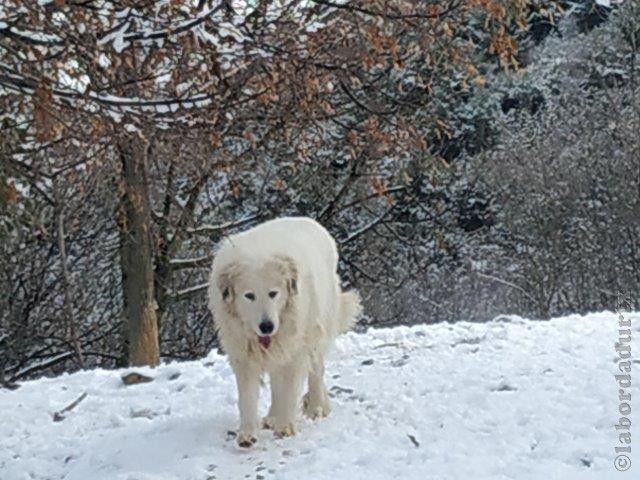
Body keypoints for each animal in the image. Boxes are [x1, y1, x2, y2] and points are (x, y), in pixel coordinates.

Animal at [209, 217, 362, 446]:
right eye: (249, 296)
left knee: (316, 370)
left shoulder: (296, 349)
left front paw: (285, 427)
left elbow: (289, 389)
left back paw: (316, 406)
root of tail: (311, 221)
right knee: (276, 379)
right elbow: (247, 396)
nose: (267, 326)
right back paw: (273, 416)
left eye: (273, 293)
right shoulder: (243, 353)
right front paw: (247, 434)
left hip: (316, 329)